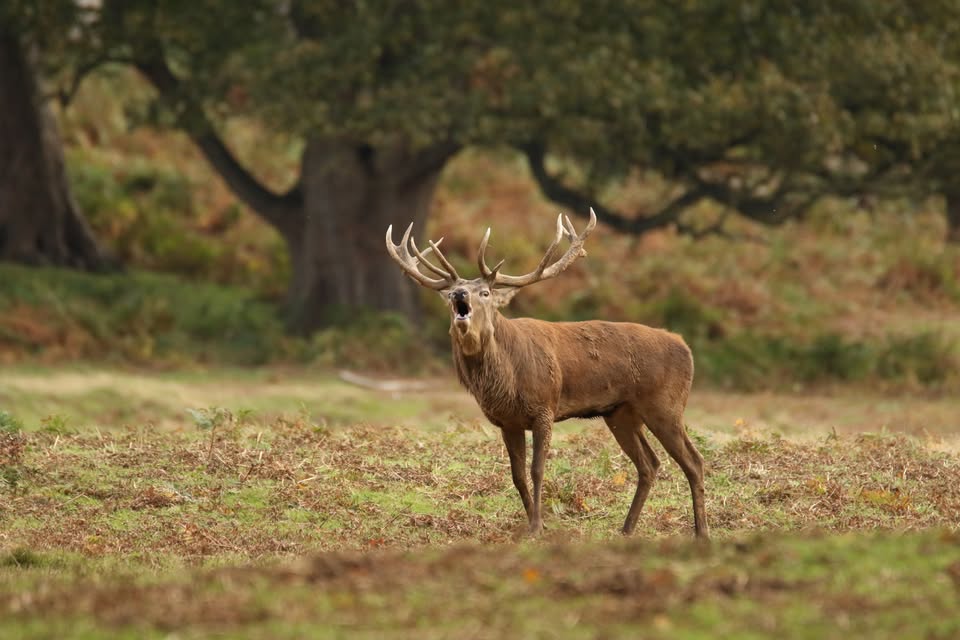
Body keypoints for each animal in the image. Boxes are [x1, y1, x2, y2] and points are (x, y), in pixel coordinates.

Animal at [385, 209, 708, 539]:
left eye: (485, 292)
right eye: (451, 292)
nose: (459, 294)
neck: (507, 380)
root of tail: (685, 346)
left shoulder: (544, 408)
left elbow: (537, 469)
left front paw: (538, 526)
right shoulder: (508, 422)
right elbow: (516, 474)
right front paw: (532, 521)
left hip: (665, 405)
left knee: (694, 461)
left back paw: (701, 532)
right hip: (620, 413)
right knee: (649, 463)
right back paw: (627, 529)